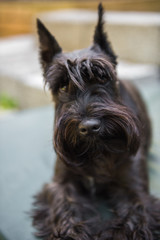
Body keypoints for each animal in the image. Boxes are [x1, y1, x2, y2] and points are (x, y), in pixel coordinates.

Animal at [32, 3, 160, 240]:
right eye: (62, 85)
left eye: (103, 76)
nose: (90, 127)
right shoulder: (61, 184)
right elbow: (65, 210)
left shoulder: (135, 189)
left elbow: (132, 221)